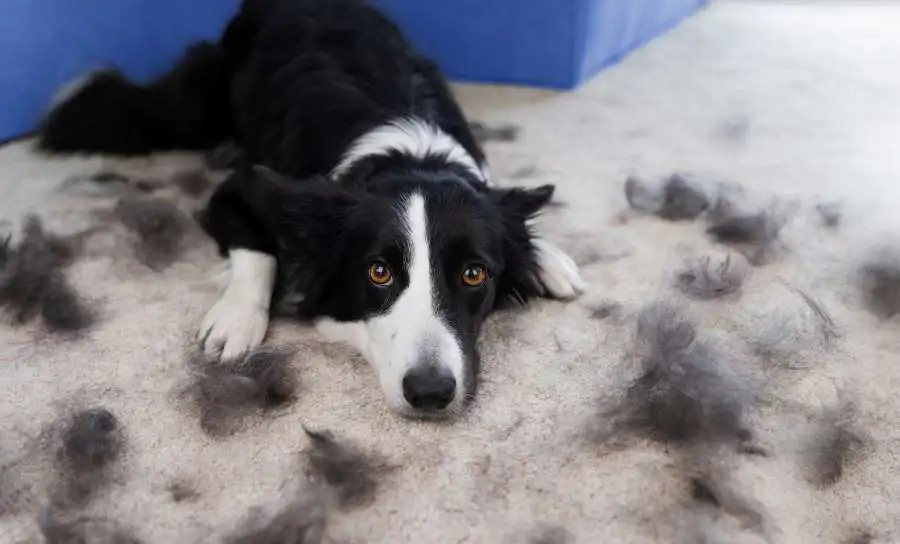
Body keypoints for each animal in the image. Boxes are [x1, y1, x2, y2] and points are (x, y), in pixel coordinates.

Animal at [35, 0, 584, 416]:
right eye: (379, 272)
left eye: (474, 274)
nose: (430, 393)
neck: (408, 157)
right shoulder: (237, 192)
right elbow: (255, 246)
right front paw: (236, 317)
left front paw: (547, 257)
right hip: (196, 100)